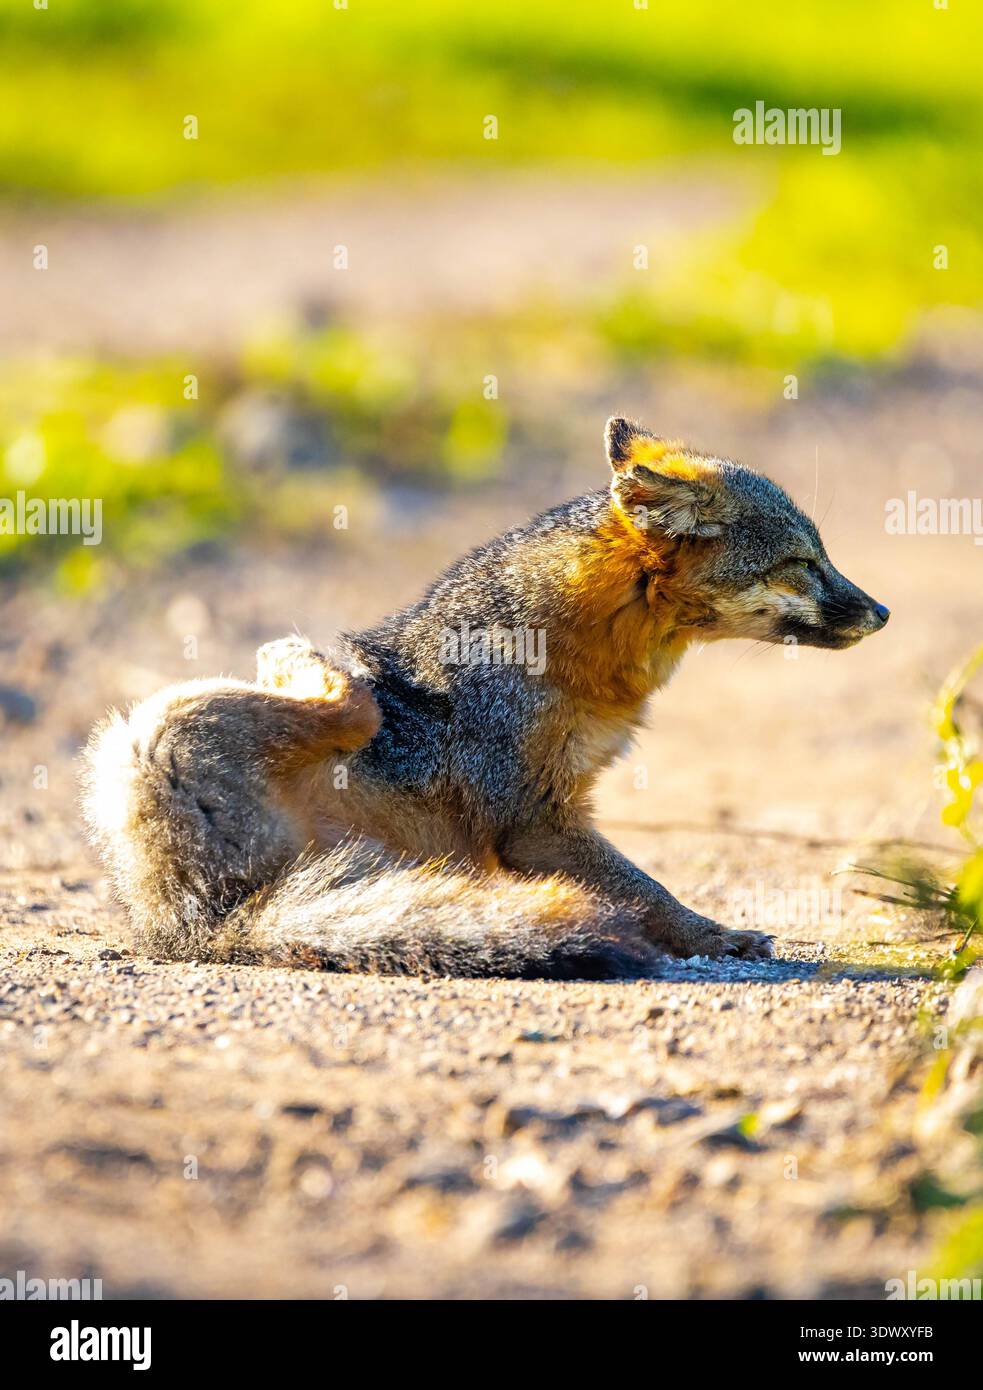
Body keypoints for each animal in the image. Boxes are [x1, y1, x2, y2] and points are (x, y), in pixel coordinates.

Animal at [81, 417, 890, 979]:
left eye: (822, 557)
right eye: (801, 564)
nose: (882, 613)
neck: (570, 651)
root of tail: (201, 926)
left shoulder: (557, 809)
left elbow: (644, 888)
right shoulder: (530, 819)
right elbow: (650, 891)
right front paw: (715, 935)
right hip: (173, 715)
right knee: (357, 705)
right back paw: (295, 654)